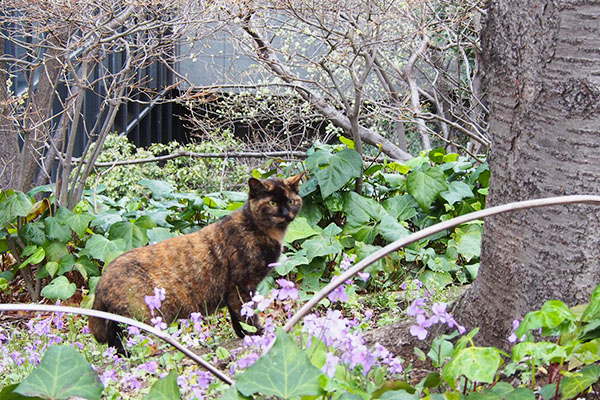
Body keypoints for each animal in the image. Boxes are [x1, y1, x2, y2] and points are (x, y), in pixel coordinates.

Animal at [88, 173, 304, 352]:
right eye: (273, 203)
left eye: (291, 200)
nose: (286, 213)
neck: (260, 230)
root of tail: (102, 279)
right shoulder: (241, 286)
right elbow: (246, 314)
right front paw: (258, 333)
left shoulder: (235, 291)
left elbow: (237, 318)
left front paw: (244, 334)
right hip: (144, 316)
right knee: (132, 339)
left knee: (115, 339)